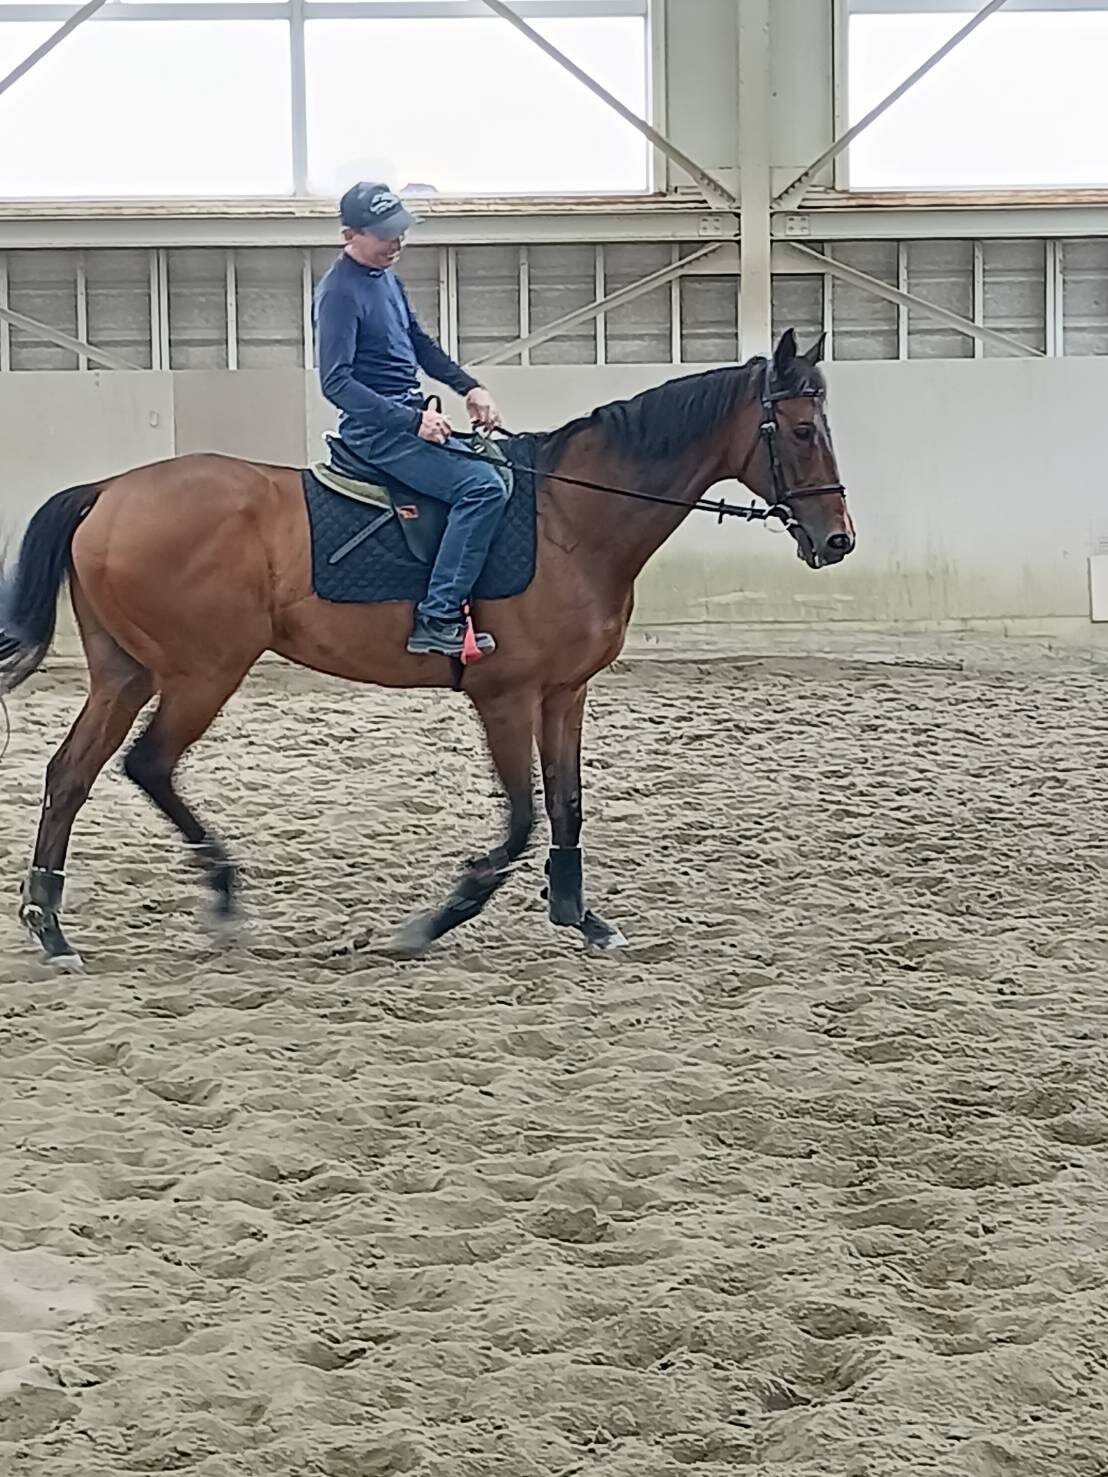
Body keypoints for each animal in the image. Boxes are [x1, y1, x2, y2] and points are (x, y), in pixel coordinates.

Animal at [0, 329, 853, 970]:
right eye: (801, 432)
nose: (838, 540)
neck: (570, 519)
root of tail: (108, 491)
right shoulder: (504, 696)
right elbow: (522, 816)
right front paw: (437, 918)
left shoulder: (565, 691)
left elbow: (567, 804)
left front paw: (580, 915)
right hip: (202, 672)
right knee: (148, 765)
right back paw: (219, 893)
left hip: (127, 672)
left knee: (70, 773)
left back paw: (50, 923)